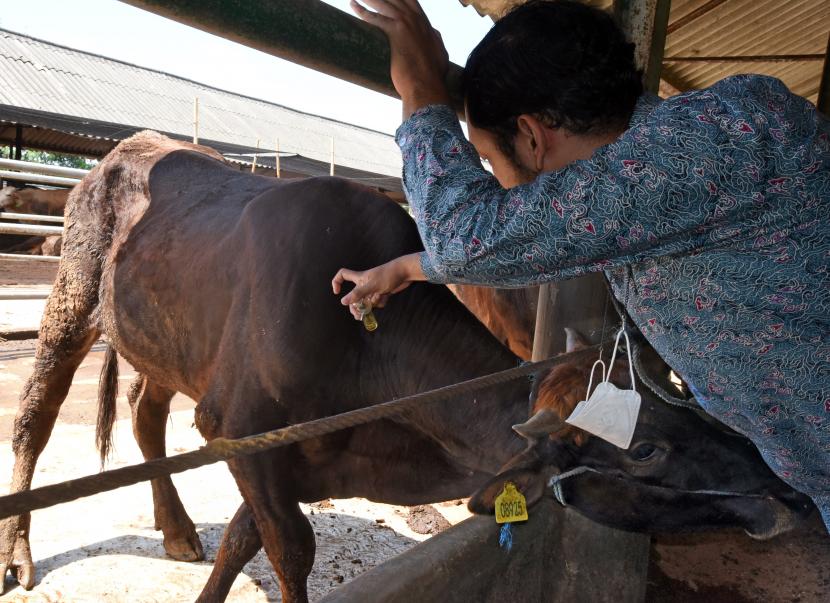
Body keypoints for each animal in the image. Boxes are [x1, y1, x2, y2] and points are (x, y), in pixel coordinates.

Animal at [1, 133, 812, 603]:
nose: (787, 490)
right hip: (71, 303)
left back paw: (173, 527)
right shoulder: (239, 425)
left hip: (162, 343)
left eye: (680, 397)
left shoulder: (289, 455)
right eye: (645, 450)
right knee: (36, 420)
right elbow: (291, 547)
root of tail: (117, 154)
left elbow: (243, 538)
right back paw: (20, 555)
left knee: (143, 414)